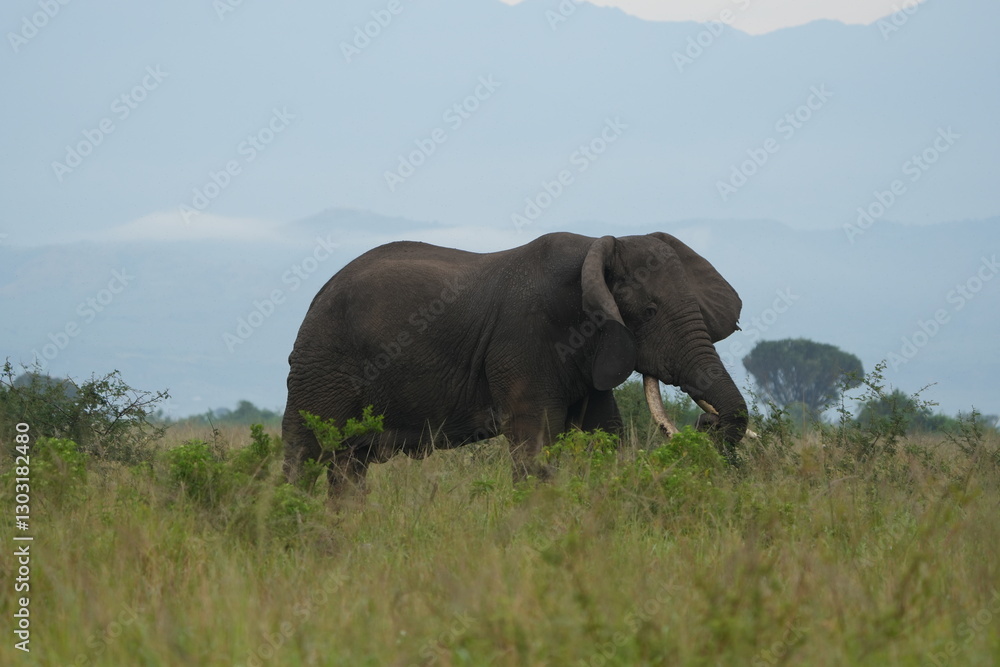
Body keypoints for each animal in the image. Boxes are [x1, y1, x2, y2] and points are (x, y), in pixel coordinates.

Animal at [282, 231, 749, 495]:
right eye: (649, 312)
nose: (706, 423)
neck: (594, 252)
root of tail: (317, 296)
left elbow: (604, 437)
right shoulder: (524, 340)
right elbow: (534, 439)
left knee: (348, 466)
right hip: (320, 365)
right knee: (305, 453)